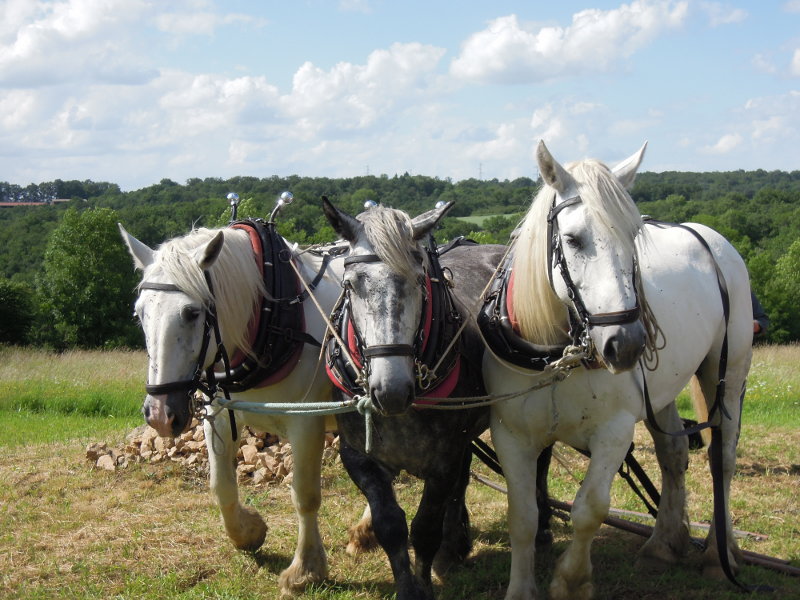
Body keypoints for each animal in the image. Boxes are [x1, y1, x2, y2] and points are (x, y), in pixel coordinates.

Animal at [120, 223, 346, 596]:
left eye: (192, 313)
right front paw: (249, 532)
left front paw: (305, 569)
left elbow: (304, 494)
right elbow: (221, 485)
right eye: (139, 313)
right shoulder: (220, 414)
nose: (160, 415)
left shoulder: (306, 422)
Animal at [484, 142, 752, 600]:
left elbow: (589, 510)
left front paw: (572, 580)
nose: (625, 344)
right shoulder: (511, 434)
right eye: (573, 239)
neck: (556, 354)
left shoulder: (614, 430)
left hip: (727, 374)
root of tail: (709, 236)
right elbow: (523, 516)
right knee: (673, 453)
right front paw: (521, 588)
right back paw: (663, 544)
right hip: (662, 390)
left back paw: (721, 555)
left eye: (633, 237)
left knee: (723, 458)